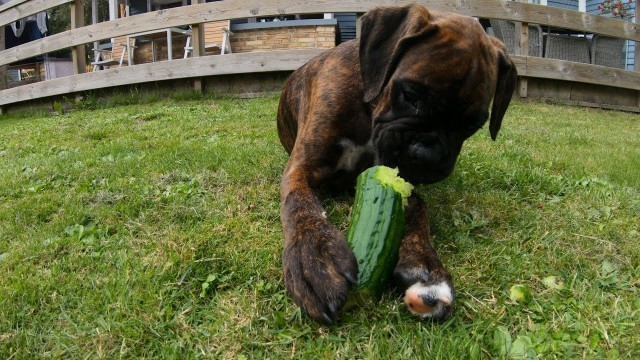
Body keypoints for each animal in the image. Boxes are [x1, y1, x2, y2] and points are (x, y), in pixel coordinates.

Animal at [276, 3, 516, 324]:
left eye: (472, 126)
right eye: (410, 95)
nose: (427, 156)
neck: (369, 106)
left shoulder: (393, 176)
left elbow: (418, 208)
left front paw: (425, 266)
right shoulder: (302, 168)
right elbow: (300, 204)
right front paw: (314, 254)